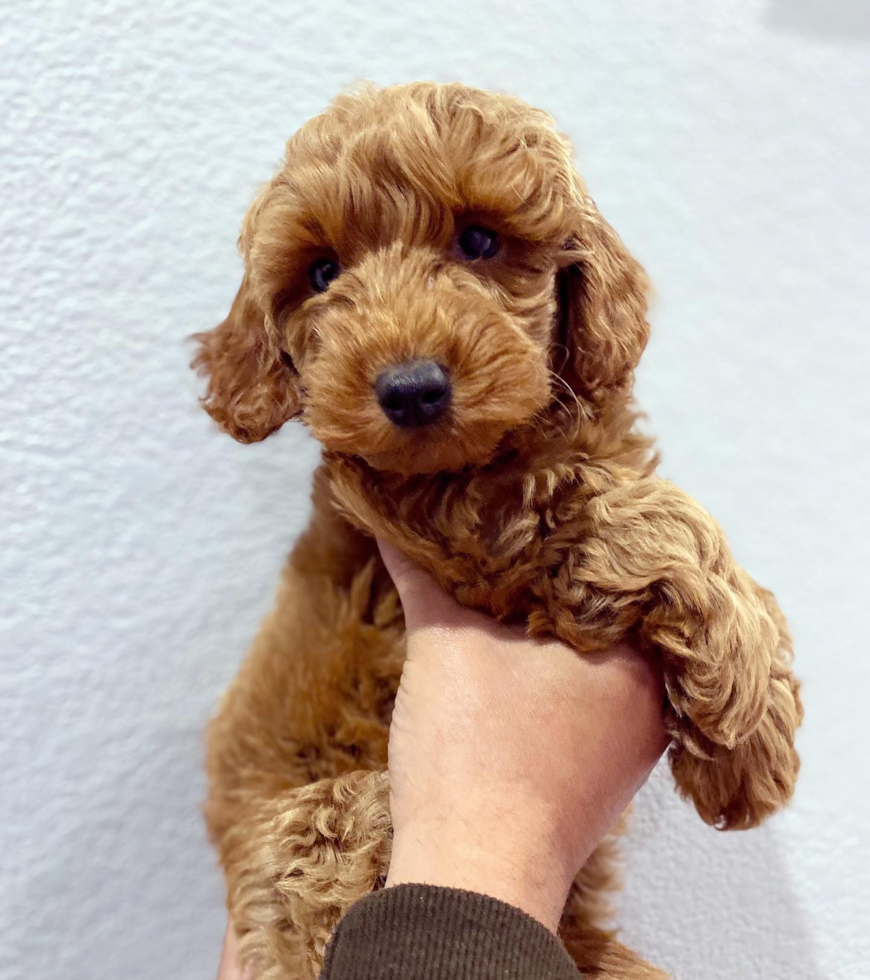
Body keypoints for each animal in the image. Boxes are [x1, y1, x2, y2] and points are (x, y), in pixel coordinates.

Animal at [194, 82, 808, 980]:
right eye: (322, 272)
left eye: (479, 241)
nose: (411, 389)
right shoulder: (473, 530)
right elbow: (635, 511)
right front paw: (750, 730)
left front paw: (746, 718)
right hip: (303, 850)